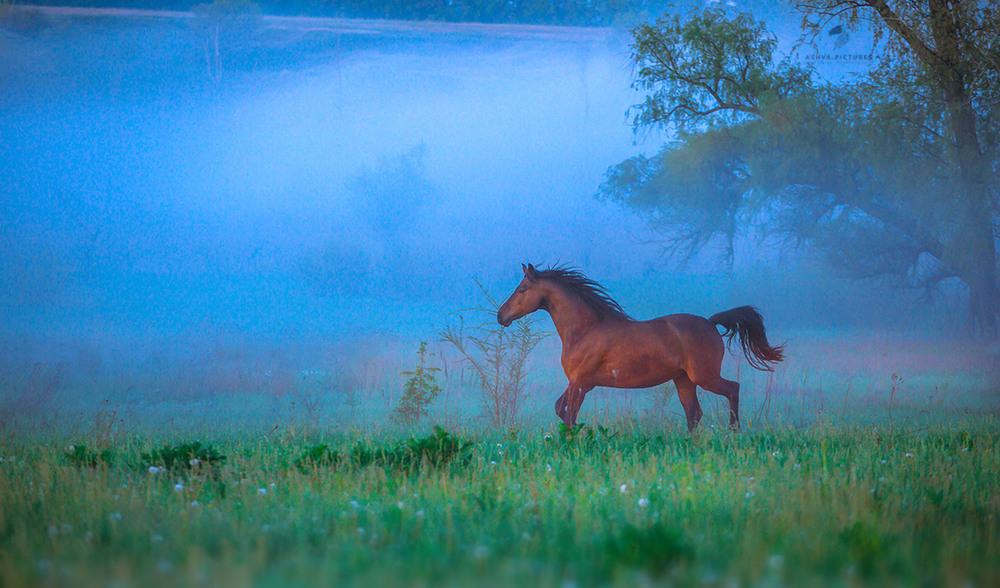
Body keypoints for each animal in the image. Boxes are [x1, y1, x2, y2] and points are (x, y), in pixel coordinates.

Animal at [496, 264, 784, 430]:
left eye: (522, 289)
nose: (501, 316)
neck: (586, 328)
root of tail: (711, 323)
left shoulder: (580, 381)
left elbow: (568, 415)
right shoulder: (582, 383)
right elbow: (561, 409)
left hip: (704, 376)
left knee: (732, 390)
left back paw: (733, 432)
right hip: (684, 380)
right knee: (694, 414)